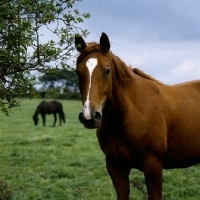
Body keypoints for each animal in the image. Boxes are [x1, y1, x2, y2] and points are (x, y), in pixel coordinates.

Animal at [74, 32, 200, 199]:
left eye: (107, 70)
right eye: (77, 72)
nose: (89, 116)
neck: (129, 114)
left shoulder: (153, 166)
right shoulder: (116, 167)